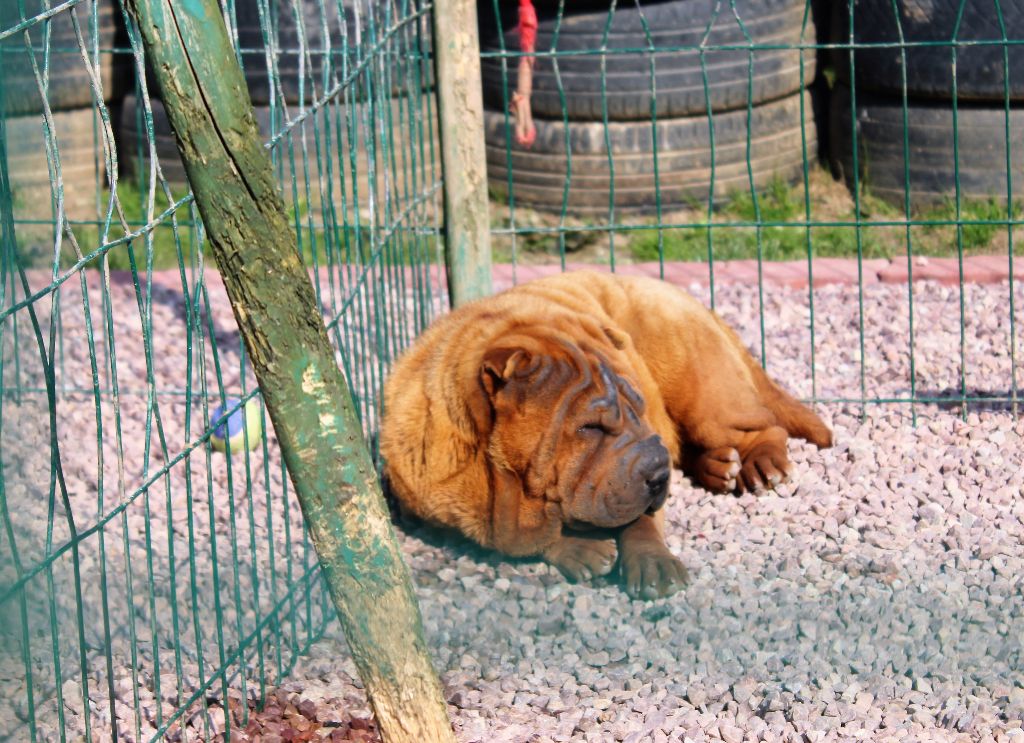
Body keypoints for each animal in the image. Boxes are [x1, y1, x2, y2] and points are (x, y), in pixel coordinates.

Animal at [380, 272, 827, 597]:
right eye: (590, 427)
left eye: (638, 408)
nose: (659, 475)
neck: (500, 487)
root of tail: (683, 295)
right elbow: (513, 540)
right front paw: (578, 550)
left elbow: (640, 521)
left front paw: (652, 562)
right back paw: (720, 467)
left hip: (698, 384)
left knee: (759, 424)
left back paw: (759, 465)